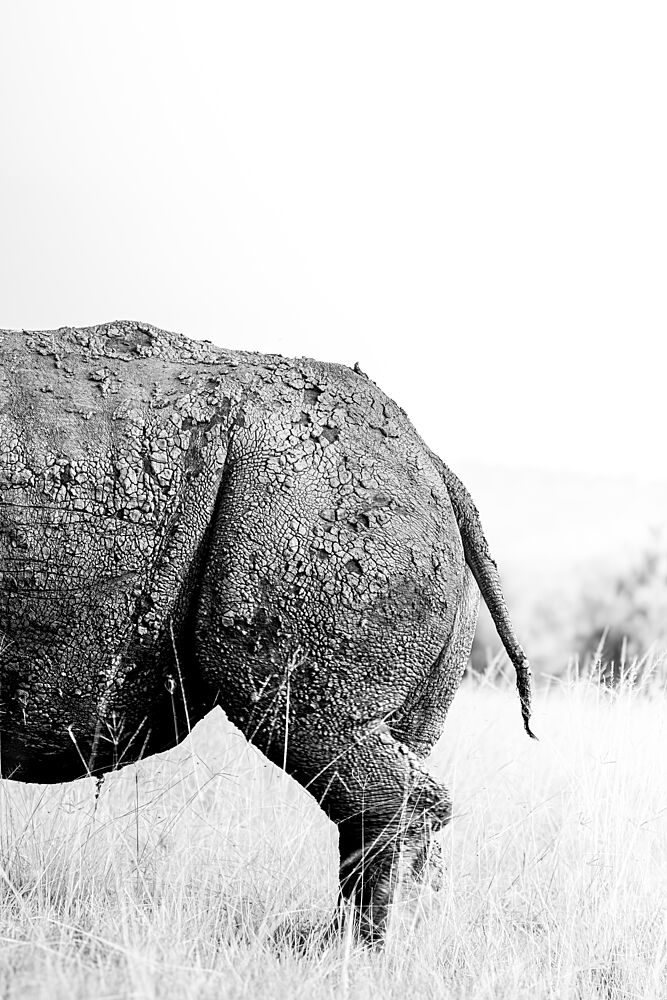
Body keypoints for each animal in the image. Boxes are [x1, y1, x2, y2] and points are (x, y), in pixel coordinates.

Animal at [0, 321, 534, 940]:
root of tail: (431, 458)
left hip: (310, 508)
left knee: (313, 729)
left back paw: (350, 948)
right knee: (396, 748)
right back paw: (389, 941)